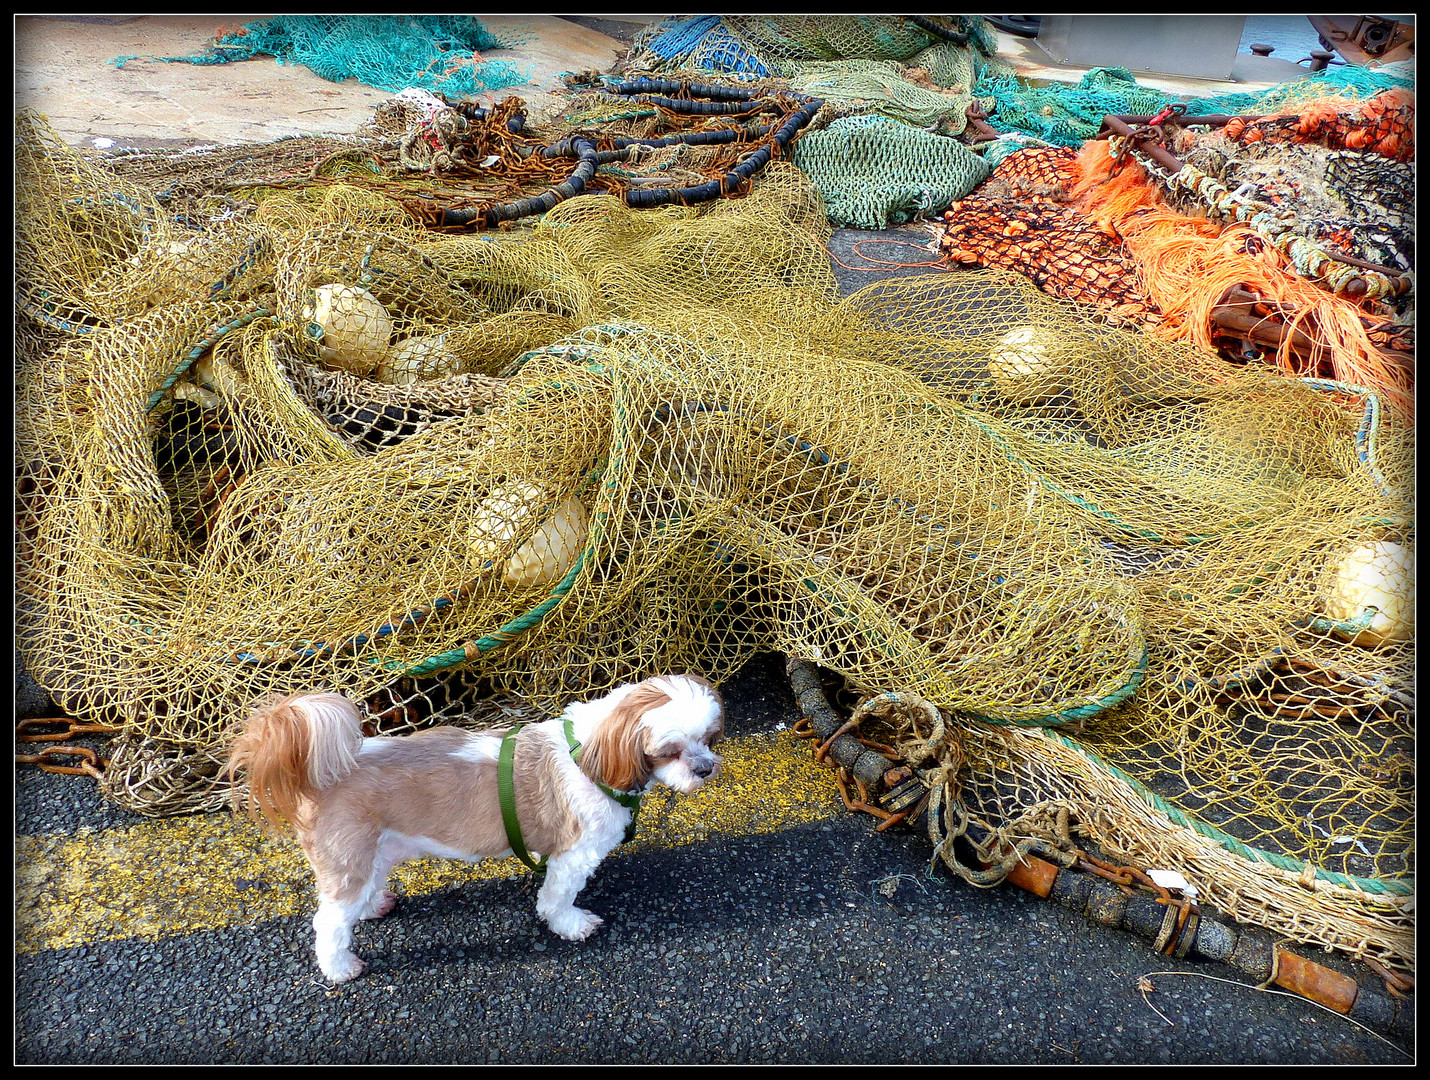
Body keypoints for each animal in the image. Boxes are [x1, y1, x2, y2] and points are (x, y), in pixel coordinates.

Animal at [233, 680, 726, 984]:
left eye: (710, 740)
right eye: (669, 751)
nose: (704, 768)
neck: (590, 752)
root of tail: (320, 775)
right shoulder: (574, 854)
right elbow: (557, 899)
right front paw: (571, 924)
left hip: (374, 849)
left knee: (365, 888)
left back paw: (375, 905)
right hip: (347, 858)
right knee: (330, 921)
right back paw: (339, 967)